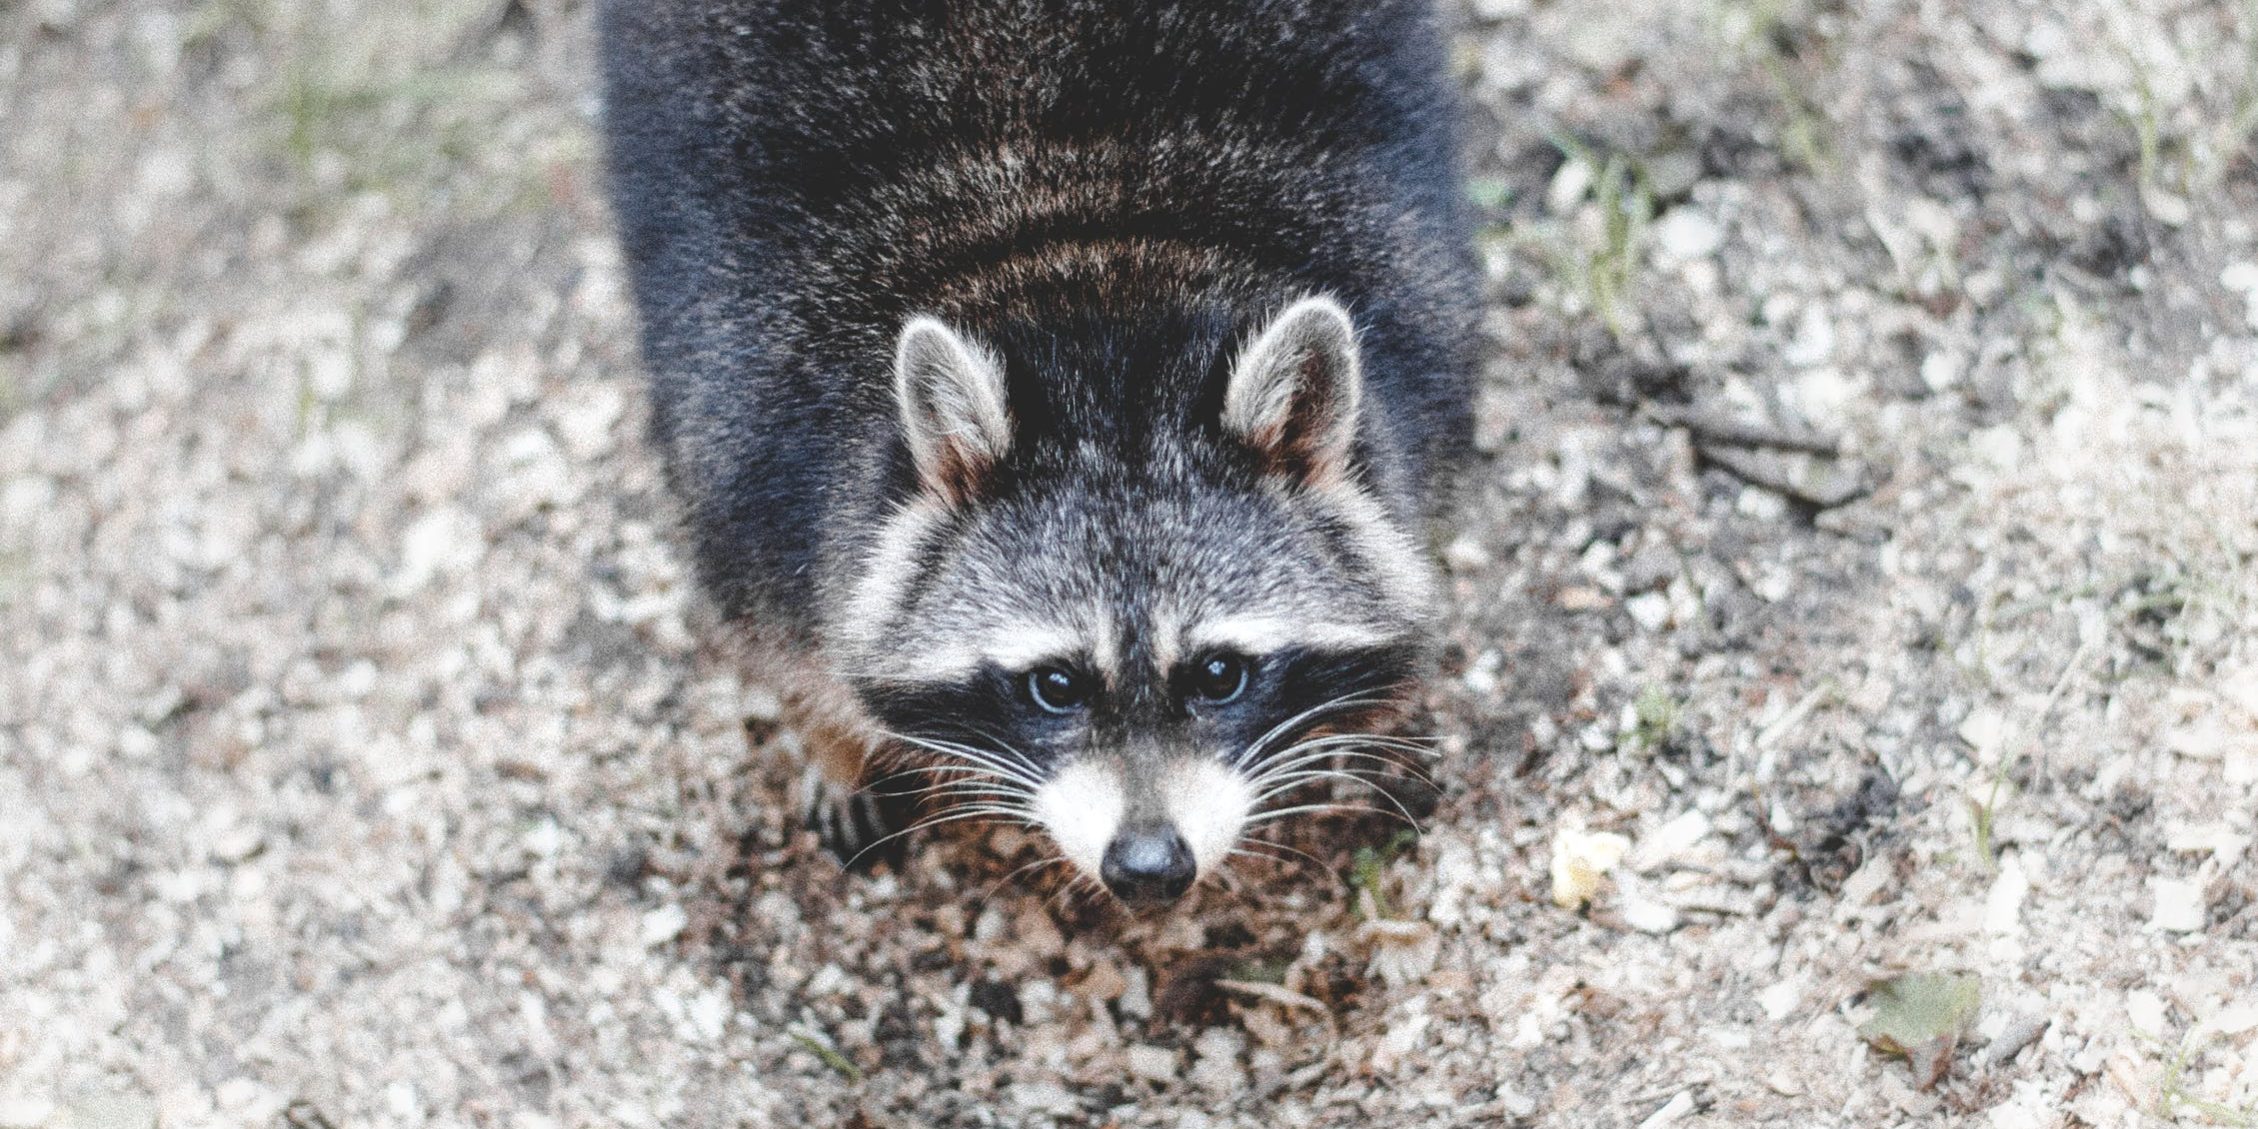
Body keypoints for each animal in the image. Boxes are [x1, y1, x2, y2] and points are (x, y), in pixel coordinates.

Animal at [599, 0, 1478, 907]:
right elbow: (778, 632)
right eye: (1055, 684)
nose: (1149, 868)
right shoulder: (749, 445)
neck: (1090, 266)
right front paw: (830, 739)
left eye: (1219, 673)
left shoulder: (1416, 323)